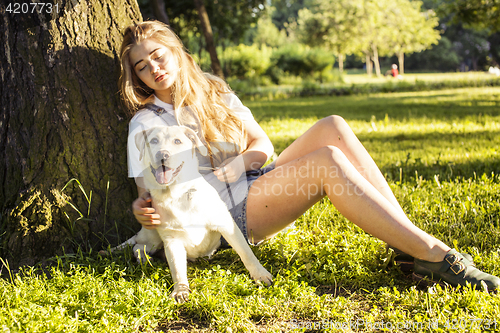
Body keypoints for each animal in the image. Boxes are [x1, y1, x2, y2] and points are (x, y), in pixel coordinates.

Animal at [103, 124, 272, 300]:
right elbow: (177, 270)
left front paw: (260, 274)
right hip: (153, 236)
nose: (162, 154)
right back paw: (144, 258)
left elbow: (246, 252)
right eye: (154, 141)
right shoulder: (172, 240)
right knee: (137, 246)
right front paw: (181, 290)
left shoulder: (226, 225)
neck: (176, 194)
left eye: (177, 141)